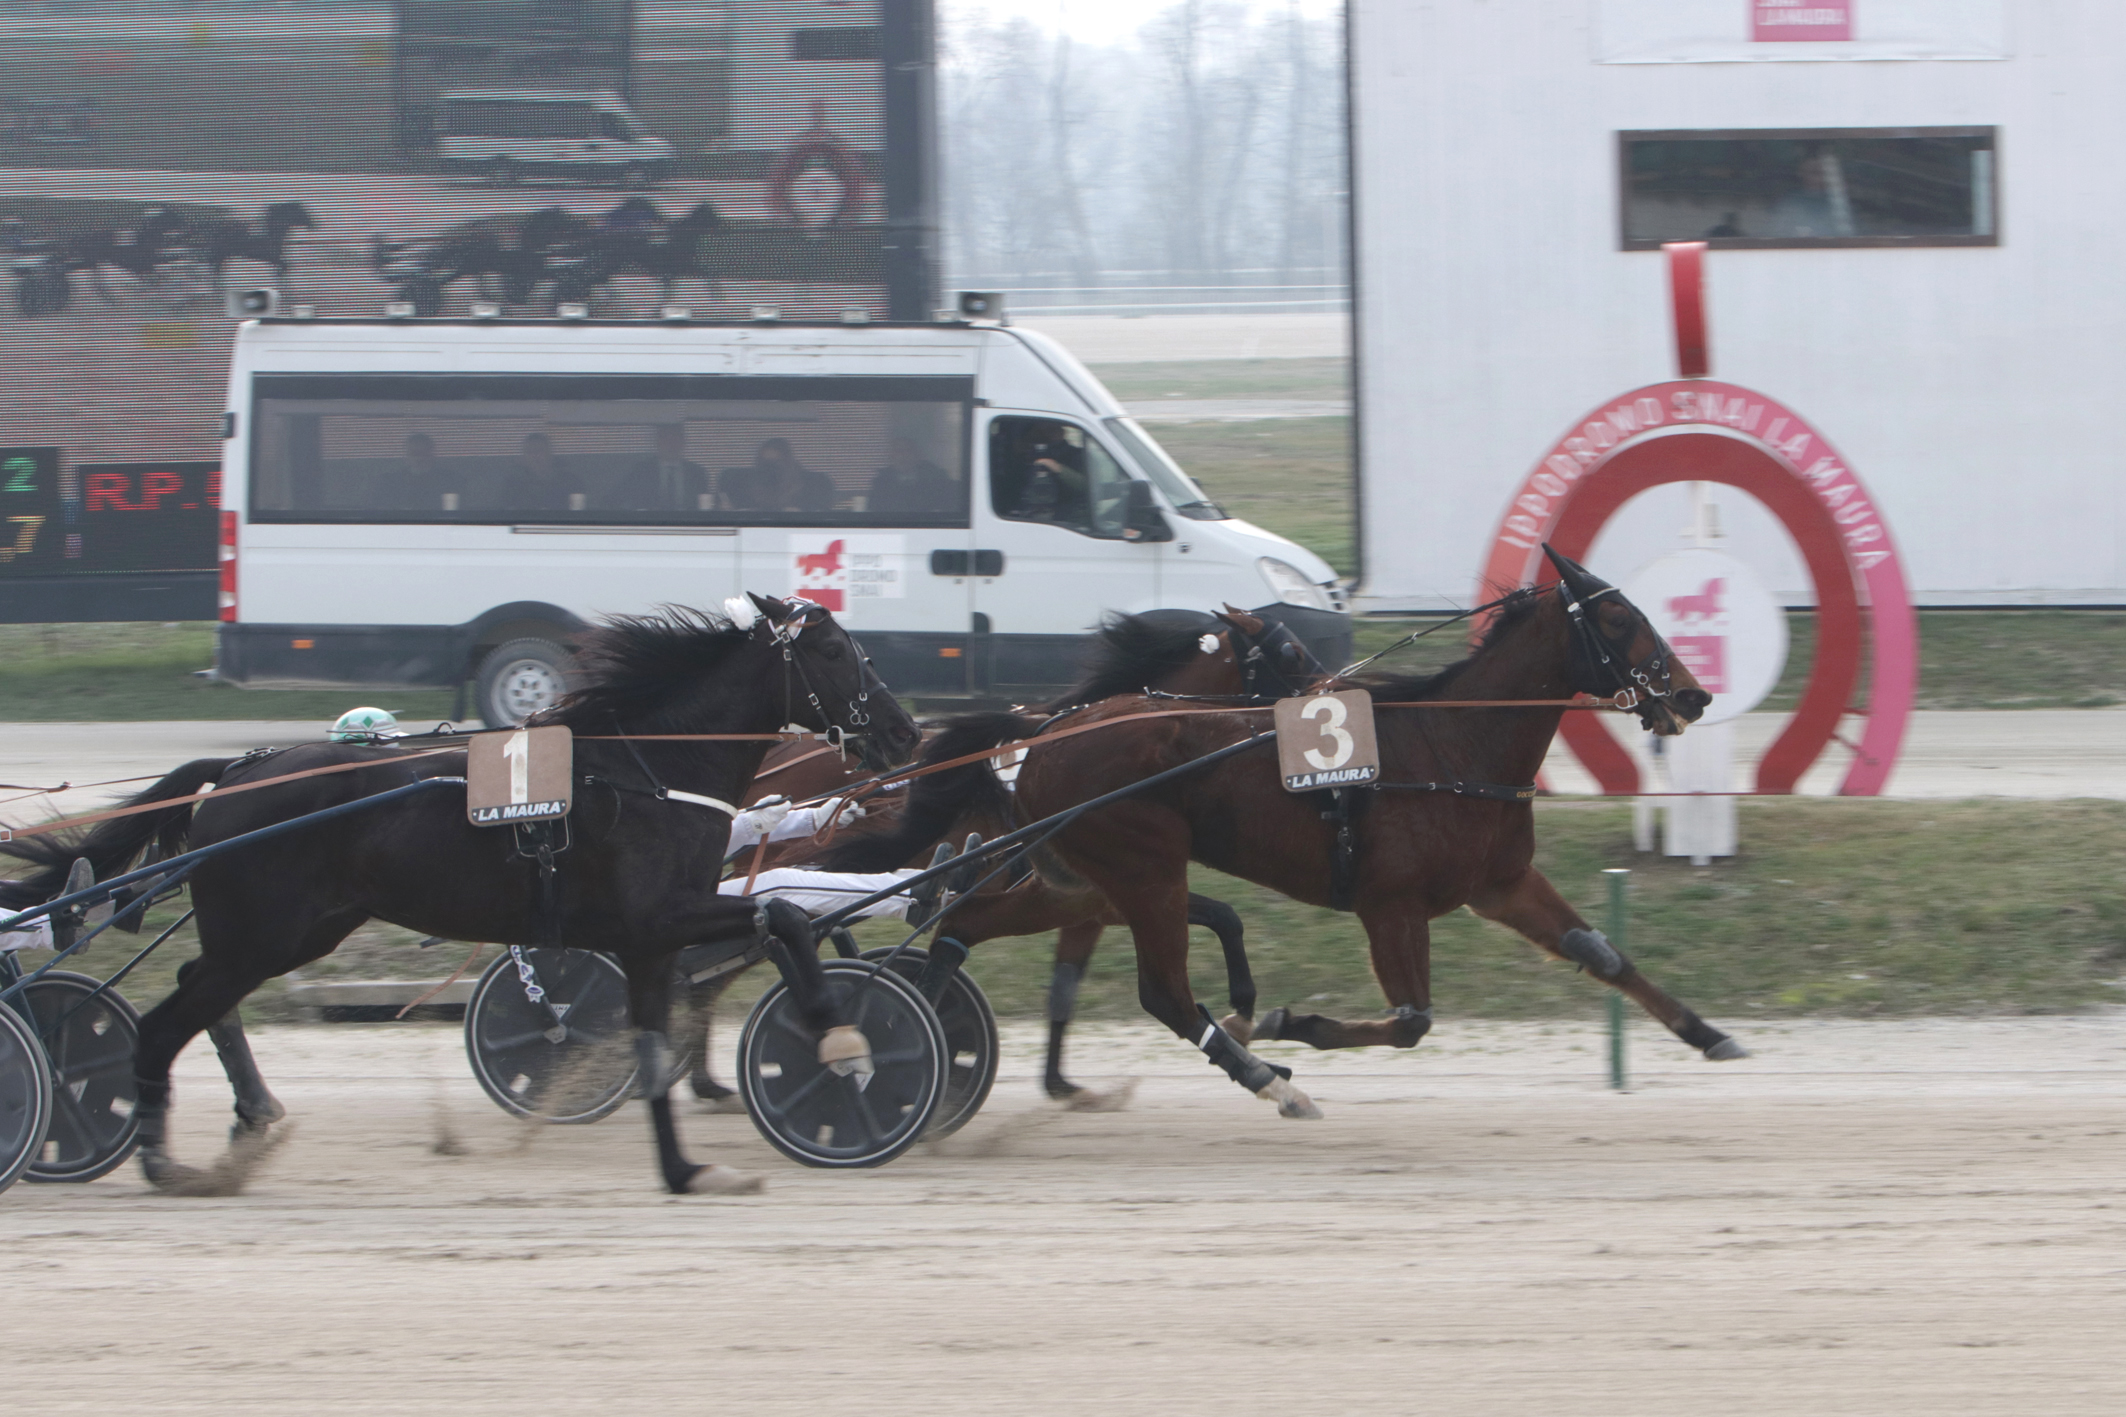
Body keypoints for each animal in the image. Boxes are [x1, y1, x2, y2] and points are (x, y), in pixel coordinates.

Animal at [6, 599, 922, 1198]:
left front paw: (686, 1166)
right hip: (262, 933)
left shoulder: (647, 940)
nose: (904, 731)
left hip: (290, 932)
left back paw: (250, 1117)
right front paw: (839, 1036)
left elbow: (663, 1036)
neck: (650, 766)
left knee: (204, 1000)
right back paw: (165, 1160)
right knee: (165, 1022)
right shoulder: (656, 920)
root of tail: (233, 772)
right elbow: (786, 915)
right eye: (835, 651)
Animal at [897, 552, 1743, 1121]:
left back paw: (917, 1049)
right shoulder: (1390, 903)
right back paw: (1268, 1079)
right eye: (1619, 618)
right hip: (1142, 870)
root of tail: (1044, 735)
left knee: (965, 925)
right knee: (1166, 993)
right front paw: (1287, 1023)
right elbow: (1411, 1020)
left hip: (1083, 879)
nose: (1691, 694)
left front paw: (1709, 1033)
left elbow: (1604, 954)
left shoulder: (1500, 883)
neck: (1453, 748)